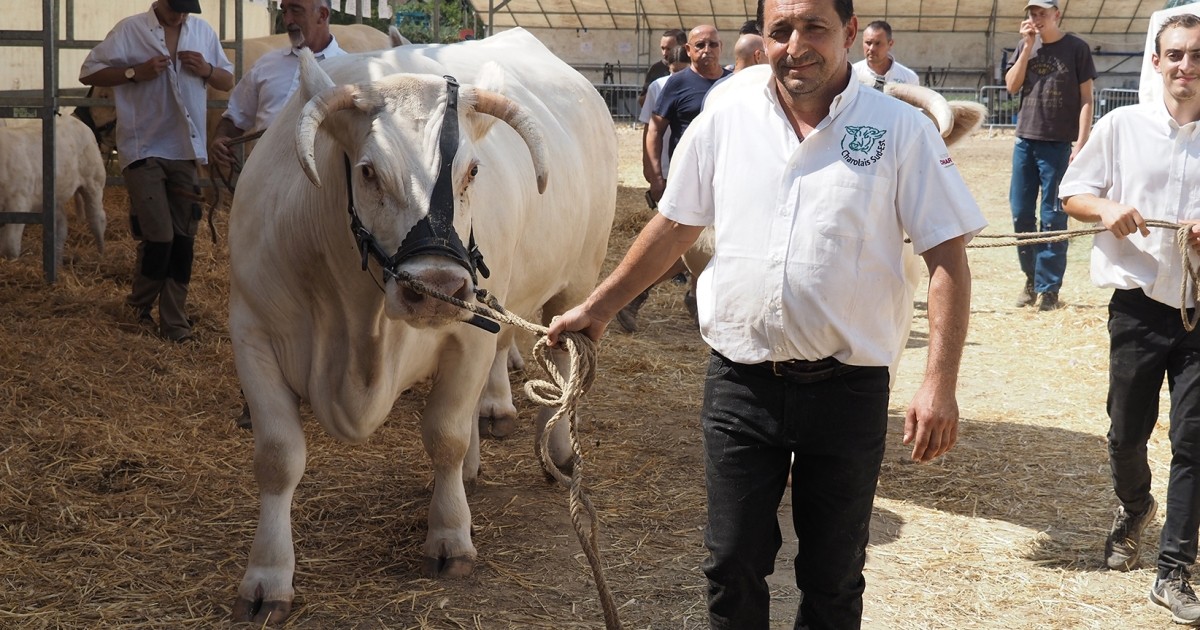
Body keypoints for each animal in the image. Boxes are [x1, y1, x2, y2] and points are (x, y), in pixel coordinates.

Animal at [0, 114, 106, 264]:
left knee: (97, 218)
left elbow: (9, 249)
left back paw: (101, 254)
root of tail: (76, 120)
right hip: (57, 196)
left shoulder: (18, 203)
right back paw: (58, 260)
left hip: (94, 181)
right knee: (61, 229)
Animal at [225, 27, 619, 619]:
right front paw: (267, 575)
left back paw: (557, 451)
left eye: (472, 171)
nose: (438, 284)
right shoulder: (252, 333)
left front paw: (451, 536)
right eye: (368, 171)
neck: (358, 319)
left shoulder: (469, 331)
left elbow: (445, 434)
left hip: (574, 279)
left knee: (560, 358)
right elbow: (277, 458)